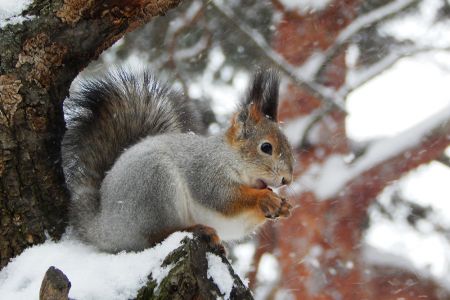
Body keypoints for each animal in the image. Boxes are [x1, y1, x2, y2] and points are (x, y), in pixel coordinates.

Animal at [62, 68, 296, 253]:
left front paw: (283, 206)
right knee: (155, 237)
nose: (287, 180)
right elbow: (222, 198)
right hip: (155, 187)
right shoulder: (206, 172)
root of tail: (103, 226)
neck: (229, 157)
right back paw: (198, 230)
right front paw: (265, 198)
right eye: (266, 147)